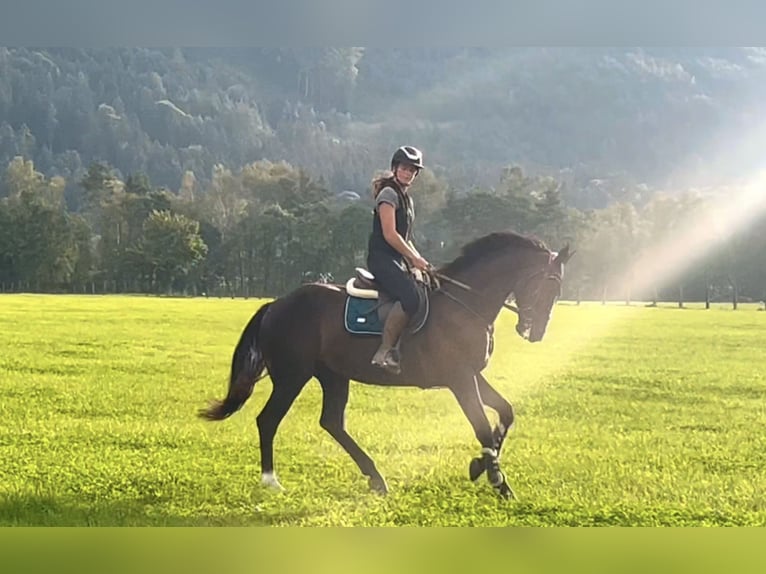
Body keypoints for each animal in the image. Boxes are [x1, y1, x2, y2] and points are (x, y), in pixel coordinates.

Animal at [201, 230, 572, 500]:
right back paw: (271, 480)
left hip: (333, 375)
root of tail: (277, 304)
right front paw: (498, 481)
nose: (535, 332)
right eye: (546, 285)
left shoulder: (471, 375)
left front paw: (480, 465)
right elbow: (482, 426)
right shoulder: (460, 379)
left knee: (332, 422)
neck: (464, 304)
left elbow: (505, 413)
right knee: (268, 420)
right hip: (293, 377)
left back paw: (375, 477)